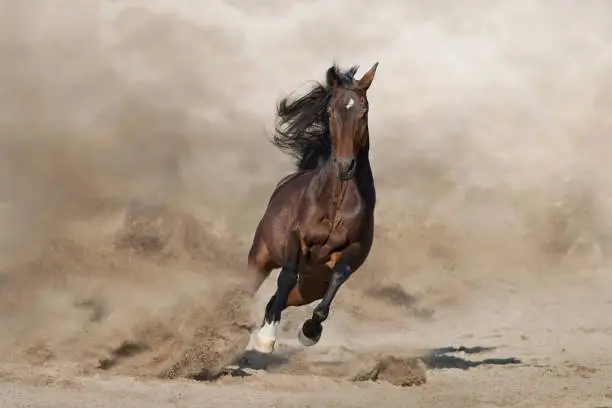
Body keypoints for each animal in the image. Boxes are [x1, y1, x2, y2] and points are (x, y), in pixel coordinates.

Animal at [244, 61, 378, 354]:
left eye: (363, 111)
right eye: (331, 111)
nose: (345, 166)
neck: (337, 200)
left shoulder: (351, 250)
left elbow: (338, 276)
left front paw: (310, 331)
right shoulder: (295, 238)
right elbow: (286, 276)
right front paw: (266, 338)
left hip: (310, 286)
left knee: (278, 299)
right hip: (260, 256)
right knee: (256, 286)